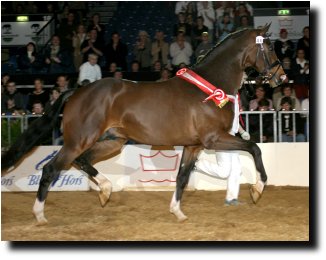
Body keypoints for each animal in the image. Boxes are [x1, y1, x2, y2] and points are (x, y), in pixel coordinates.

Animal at [0, 23, 286, 224]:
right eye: (270, 48)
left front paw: (177, 212)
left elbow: (182, 177)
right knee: (51, 169)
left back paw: (105, 190)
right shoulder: (214, 138)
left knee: (82, 161)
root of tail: (77, 91)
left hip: (113, 141)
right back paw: (40, 215)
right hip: (80, 140)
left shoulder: (193, 146)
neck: (210, 86)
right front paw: (258, 189)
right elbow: (254, 148)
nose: (281, 77)